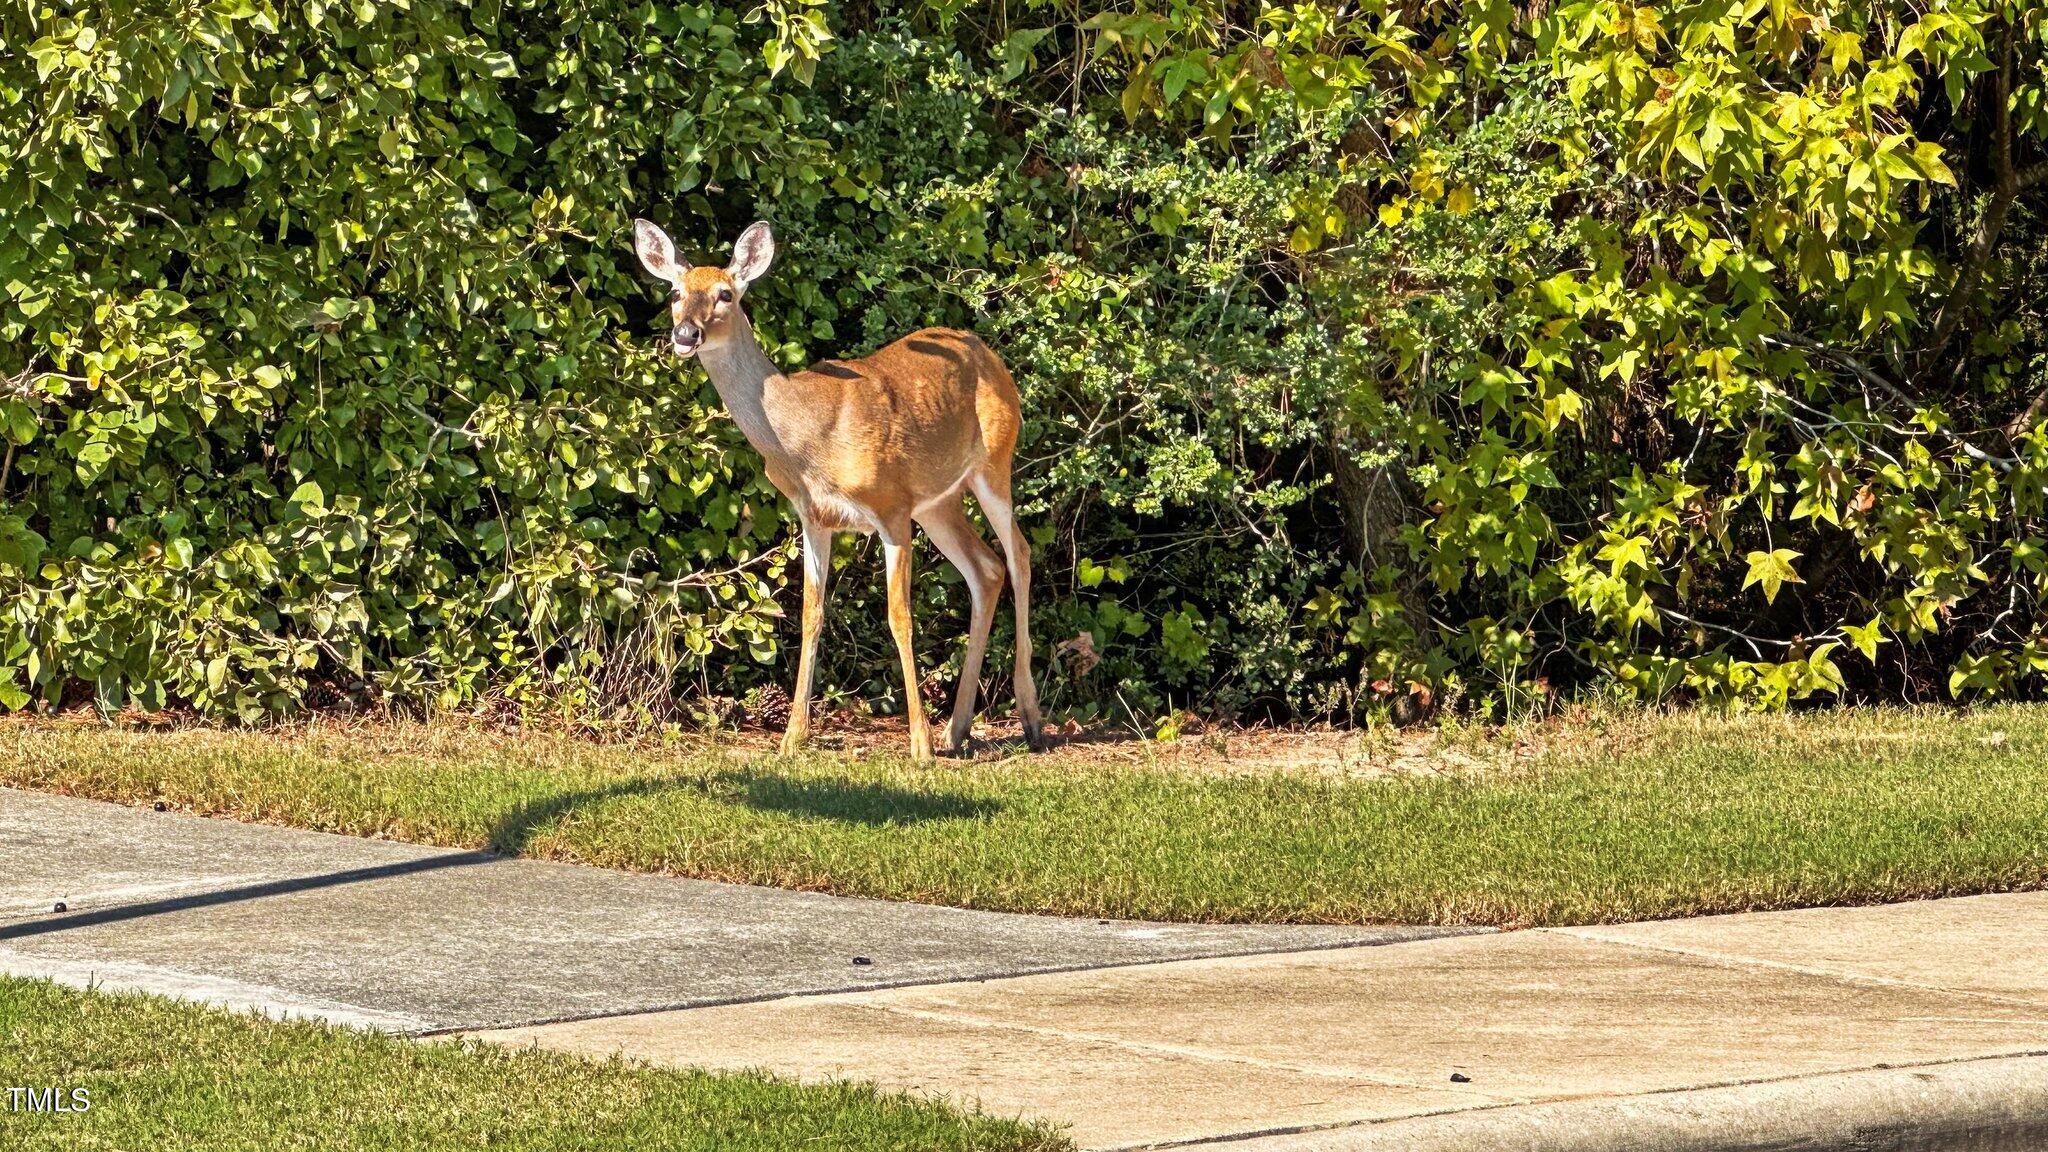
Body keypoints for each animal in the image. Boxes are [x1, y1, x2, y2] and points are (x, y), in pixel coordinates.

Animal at [630, 218, 1048, 758]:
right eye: (675, 293)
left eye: (726, 293)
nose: (685, 334)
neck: (806, 442)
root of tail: (989, 352)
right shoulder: (814, 517)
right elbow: (810, 614)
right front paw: (792, 737)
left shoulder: (890, 506)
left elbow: (899, 617)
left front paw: (918, 746)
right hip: (938, 502)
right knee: (987, 569)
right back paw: (957, 730)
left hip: (994, 462)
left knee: (1019, 554)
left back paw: (1029, 719)